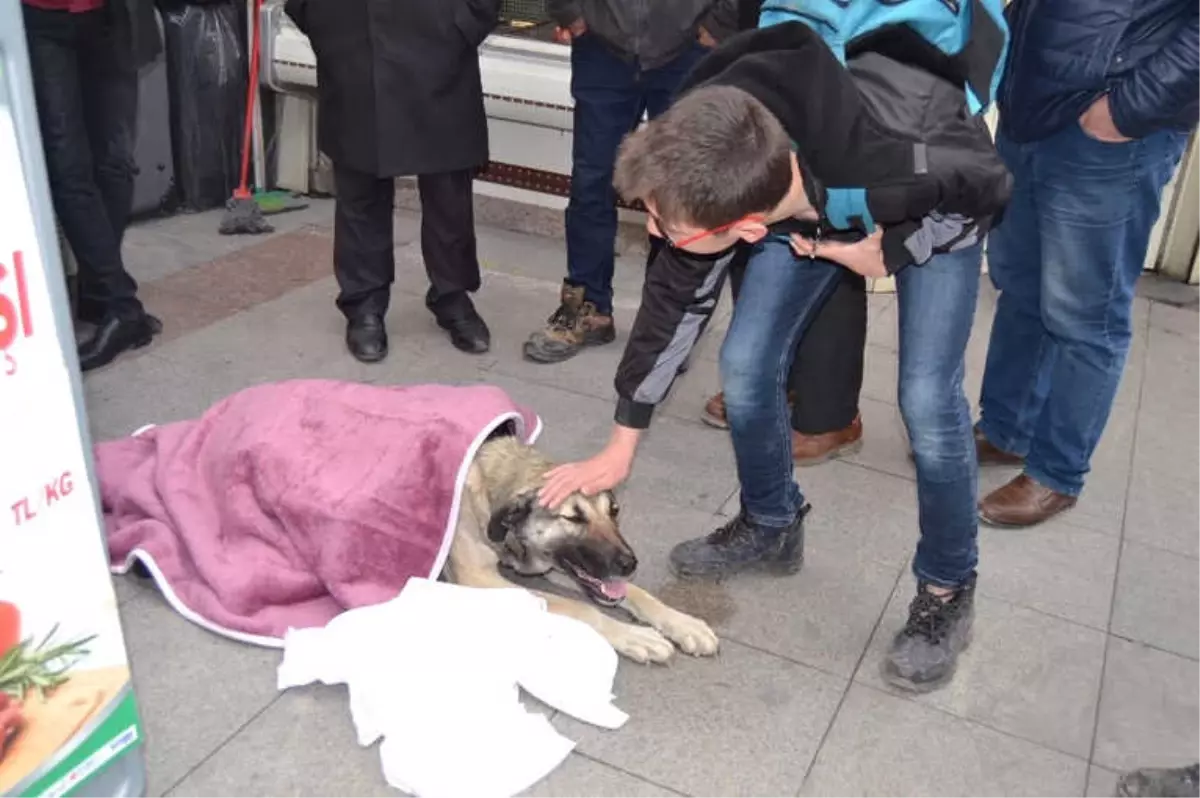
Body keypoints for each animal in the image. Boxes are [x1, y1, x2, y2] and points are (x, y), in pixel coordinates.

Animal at [444, 432, 715, 662]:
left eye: (614, 510)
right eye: (574, 518)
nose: (630, 564)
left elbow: (636, 592)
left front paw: (683, 623)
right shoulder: (480, 579)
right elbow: (580, 607)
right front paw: (634, 635)